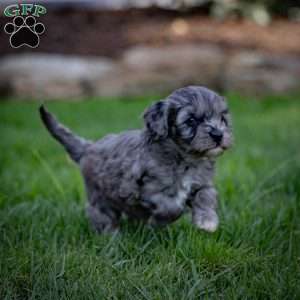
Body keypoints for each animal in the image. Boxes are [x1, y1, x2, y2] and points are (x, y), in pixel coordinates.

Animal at [39, 85, 232, 233]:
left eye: (222, 118)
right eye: (191, 120)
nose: (218, 135)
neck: (186, 159)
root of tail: (88, 147)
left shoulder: (202, 183)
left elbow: (206, 195)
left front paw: (207, 221)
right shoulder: (147, 191)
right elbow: (171, 209)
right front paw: (158, 223)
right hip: (99, 196)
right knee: (101, 215)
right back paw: (112, 237)